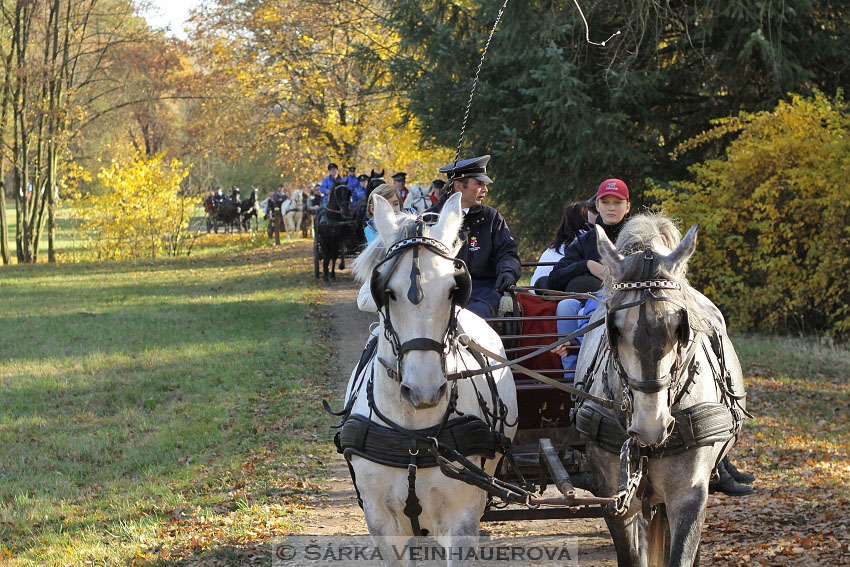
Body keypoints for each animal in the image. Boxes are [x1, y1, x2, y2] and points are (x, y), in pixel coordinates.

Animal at [338, 194, 516, 564]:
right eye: (387, 291)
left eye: (453, 290)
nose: (424, 389)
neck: (414, 438)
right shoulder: (381, 522)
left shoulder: (461, 519)